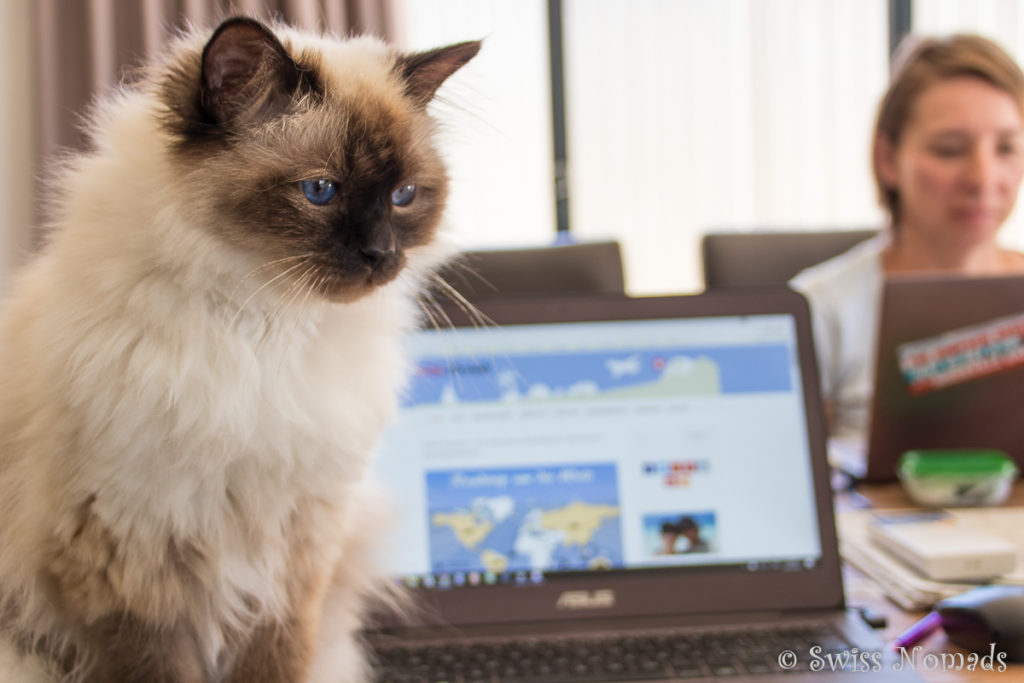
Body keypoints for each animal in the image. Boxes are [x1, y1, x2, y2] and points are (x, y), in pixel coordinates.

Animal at [0, 15, 479, 683]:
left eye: (404, 196)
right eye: (320, 190)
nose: (383, 255)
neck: (263, 326)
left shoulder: (298, 548)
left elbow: (278, 659)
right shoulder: (127, 549)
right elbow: (156, 665)